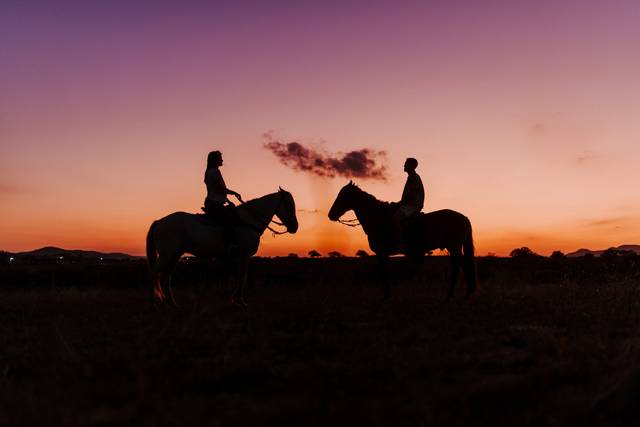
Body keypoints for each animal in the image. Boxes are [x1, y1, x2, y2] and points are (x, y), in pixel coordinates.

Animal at [146, 189, 298, 306]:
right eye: (289, 204)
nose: (294, 227)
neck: (248, 221)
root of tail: (159, 221)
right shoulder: (244, 255)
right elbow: (243, 277)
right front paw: (240, 302)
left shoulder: (236, 258)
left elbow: (238, 276)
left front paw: (234, 300)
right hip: (167, 255)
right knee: (154, 273)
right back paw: (153, 304)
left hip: (175, 255)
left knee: (166, 277)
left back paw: (172, 303)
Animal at [330, 182, 476, 300]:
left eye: (343, 196)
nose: (330, 215)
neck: (379, 218)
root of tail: (463, 217)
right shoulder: (382, 254)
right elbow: (385, 273)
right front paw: (387, 295)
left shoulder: (382, 253)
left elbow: (385, 273)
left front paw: (387, 296)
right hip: (455, 247)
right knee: (464, 266)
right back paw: (467, 293)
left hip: (454, 247)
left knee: (457, 269)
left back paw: (450, 295)